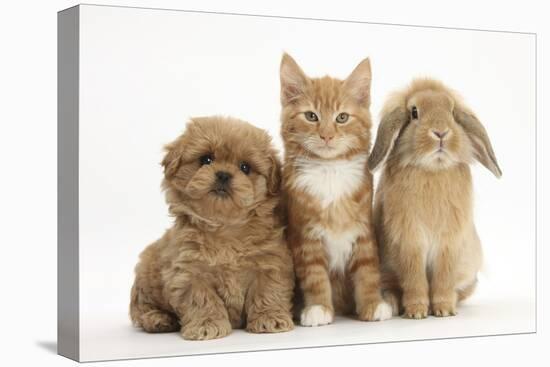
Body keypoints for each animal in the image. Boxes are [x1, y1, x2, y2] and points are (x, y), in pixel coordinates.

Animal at [130, 117, 296, 342]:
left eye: (245, 167)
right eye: (206, 159)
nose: (224, 175)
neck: (224, 228)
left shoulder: (270, 264)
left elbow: (268, 292)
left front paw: (270, 318)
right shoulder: (189, 273)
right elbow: (203, 299)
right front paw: (207, 325)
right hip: (145, 274)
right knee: (140, 309)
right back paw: (158, 319)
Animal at [280, 53, 392, 326]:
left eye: (342, 117)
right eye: (311, 116)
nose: (327, 136)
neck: (329, 170)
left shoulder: (363, 230)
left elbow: (367, 271)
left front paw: (373, 304)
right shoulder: (305, 236)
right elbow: (315, 276)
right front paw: (318, 308)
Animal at [370, 80, 504, 320]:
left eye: (451, 112)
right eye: (414, 112)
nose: (441, 132)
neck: (433, 169)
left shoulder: (448, 244)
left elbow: (443, 278)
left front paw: (443, 310)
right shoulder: (410, 242)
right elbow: (414, 279)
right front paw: (417, 312)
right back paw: (394, 304)